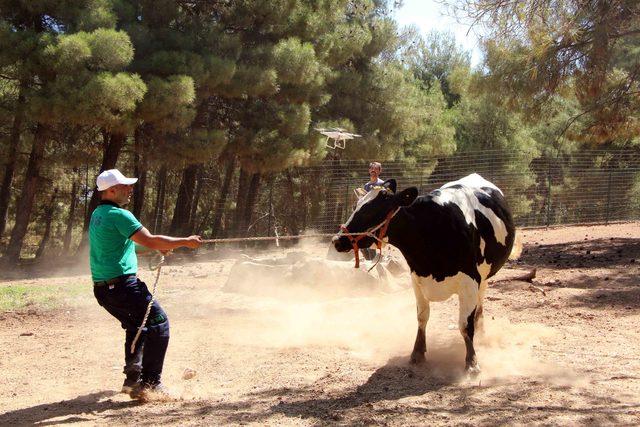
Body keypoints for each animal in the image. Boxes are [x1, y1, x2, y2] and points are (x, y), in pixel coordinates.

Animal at [332, 174, 516, 374]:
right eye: (356, 207)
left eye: (372, 210)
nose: (337, 240)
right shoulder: (417, 279)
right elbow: (422, 317)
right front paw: (417, 353)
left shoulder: (469, 281)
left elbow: (465, 325)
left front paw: (472, 362)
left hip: (484, 274)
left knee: (480, 299)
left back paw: (480, 330)